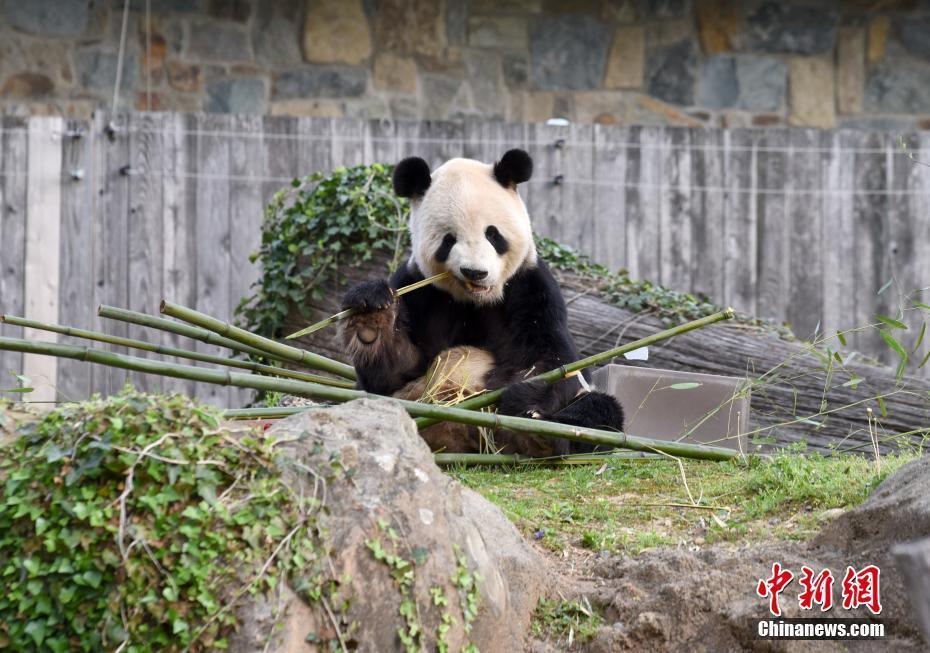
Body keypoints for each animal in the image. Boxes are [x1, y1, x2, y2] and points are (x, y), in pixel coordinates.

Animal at [338, 148, 620, 456]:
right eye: (449, 240)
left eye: (492, 234)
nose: (475, 272)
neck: (475, 300)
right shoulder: (418, 288)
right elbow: (394, 373)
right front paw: (371, 318)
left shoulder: (529, 287)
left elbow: (551, 358)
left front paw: (526, 401)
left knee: (597, 411)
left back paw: (536, 434)